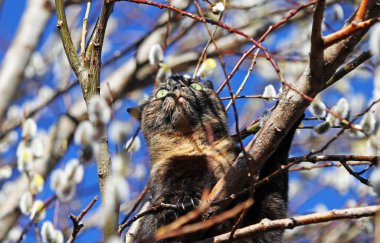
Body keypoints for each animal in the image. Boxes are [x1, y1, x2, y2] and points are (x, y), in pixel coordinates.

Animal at [128, 75, 300, 242]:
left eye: (195, 85)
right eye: (161, 92)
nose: (177, 85)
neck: (196, 146)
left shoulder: (265, 223)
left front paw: (276, 120)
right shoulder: (165, 176)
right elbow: (157, 217)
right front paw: (183, 201)